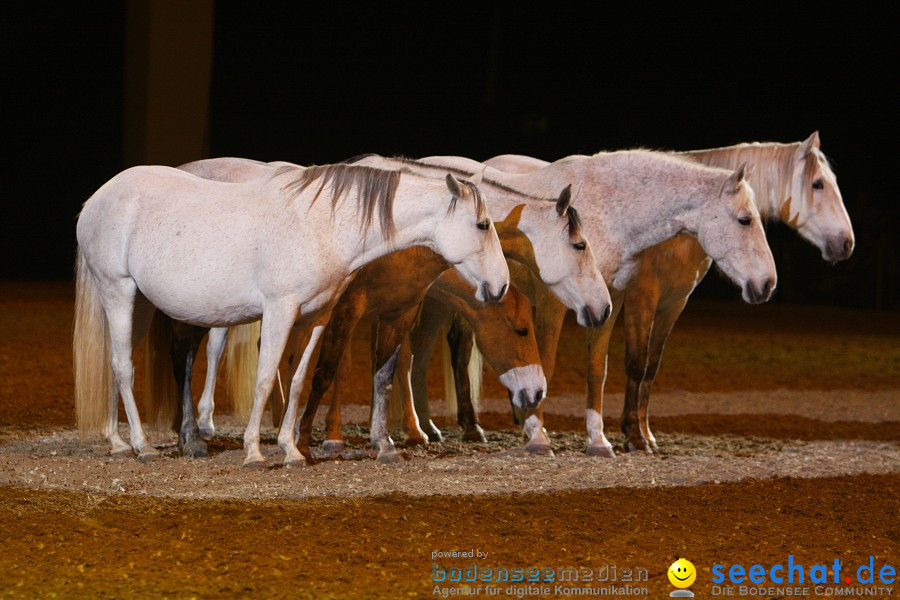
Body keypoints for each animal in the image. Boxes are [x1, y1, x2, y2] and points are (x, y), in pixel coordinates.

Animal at [74, 162, 510, 466]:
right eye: (482, 224)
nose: (501, 286)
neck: (321, 225)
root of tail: (96, 199)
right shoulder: (279, 311)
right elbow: (267, 377)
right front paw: (254, 452)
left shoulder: (316, 318)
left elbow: (300, 380)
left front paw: (291, 449)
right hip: (118, 291)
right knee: (124, 367)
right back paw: (142, 446)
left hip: (141, 304)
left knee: (116, 363)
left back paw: (118, 442)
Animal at [414, 152, 772, 458]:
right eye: (745, 220)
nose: (768, 283)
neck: (608, 210)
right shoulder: (554, 301)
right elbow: (546, 365)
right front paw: (538, 436)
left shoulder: (608, 302)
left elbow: (598, 369)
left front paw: (598, 441)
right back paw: (448, 428)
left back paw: (446, 427)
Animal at [486, 130, 852, 450]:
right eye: (818, 184)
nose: (846, 244)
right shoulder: (633, 300)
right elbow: (627, 363)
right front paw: (629, 438)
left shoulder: (666, 303)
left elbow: (645, 367)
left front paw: (640, 435)